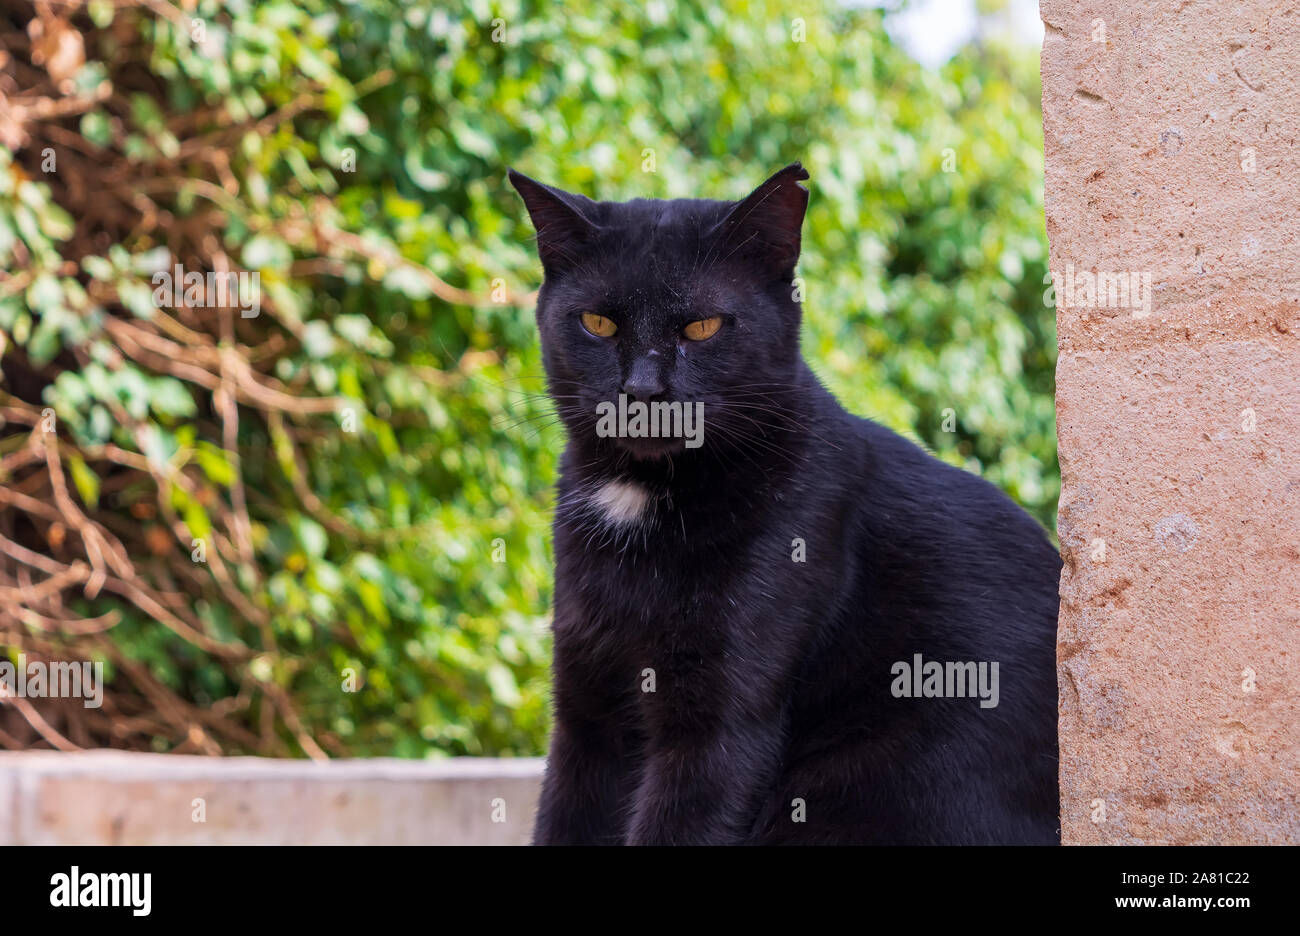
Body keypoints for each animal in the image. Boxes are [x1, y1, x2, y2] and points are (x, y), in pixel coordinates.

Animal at [504, 164, 1055, 842]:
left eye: (702, 328)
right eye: (598, 324)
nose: (642, 390)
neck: (643, 495)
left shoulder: (722, 728)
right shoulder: (586, 713)